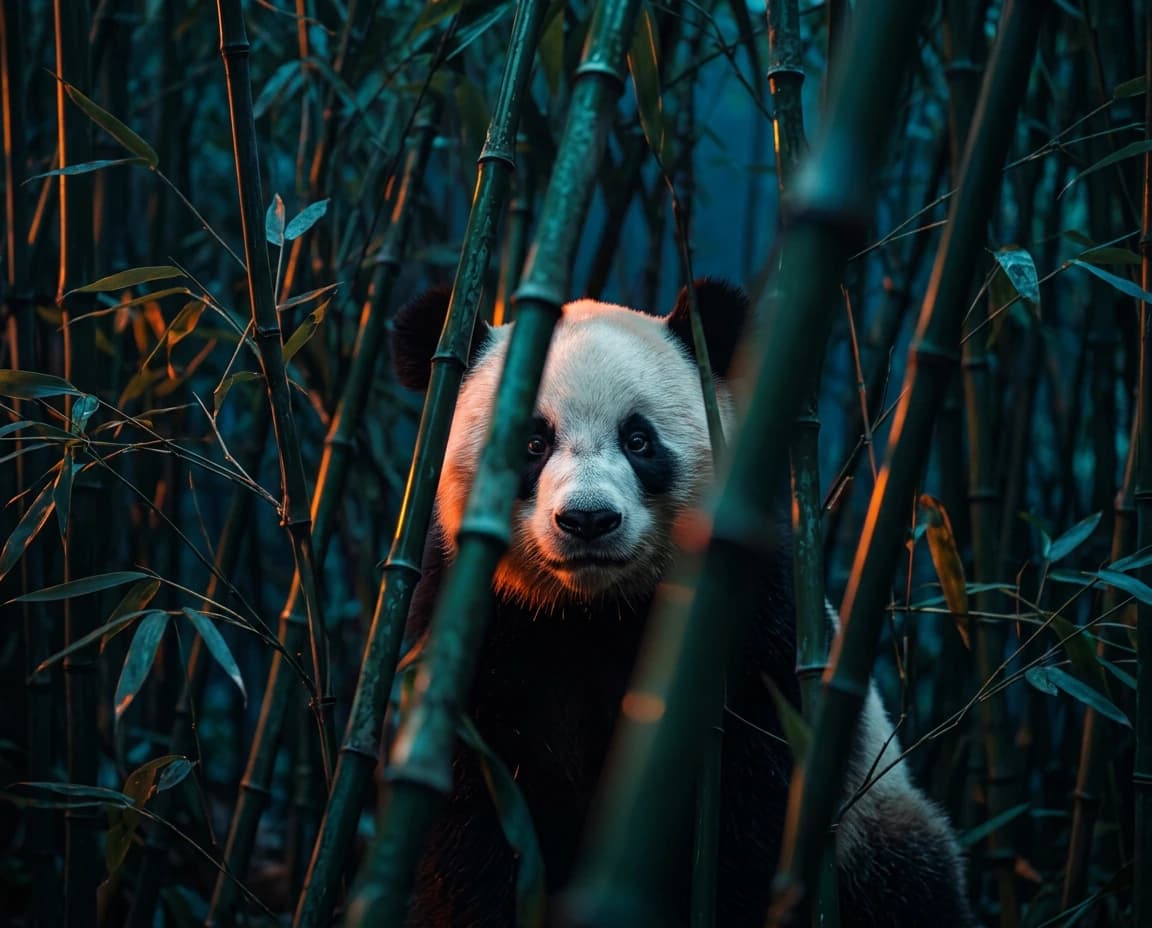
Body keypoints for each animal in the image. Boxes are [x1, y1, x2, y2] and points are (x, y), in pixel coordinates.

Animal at [389, 278, 976, 928]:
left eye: (638, 439)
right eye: (534, 443)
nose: (588, 520)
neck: (593, 611)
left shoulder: (755, 633)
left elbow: (751, 807)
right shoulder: (477, 629)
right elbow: (479, 820)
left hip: (880, 829)